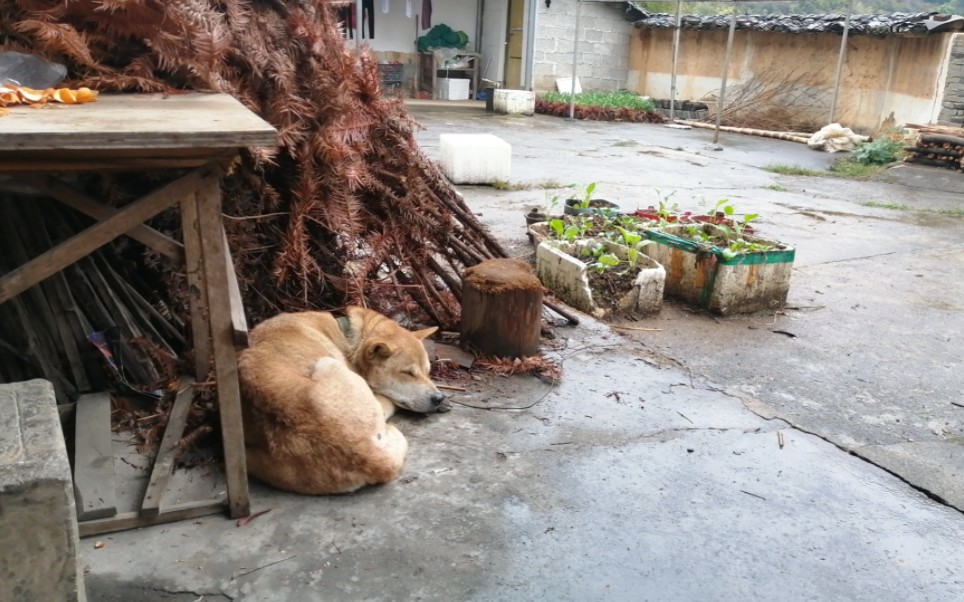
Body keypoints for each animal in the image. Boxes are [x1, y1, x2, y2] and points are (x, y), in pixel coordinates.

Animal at [237, 304, 444, 492]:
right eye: (407, 373)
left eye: (428, 371)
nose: (439, 398)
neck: (344, 337)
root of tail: (365, 453)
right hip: (328, 363)